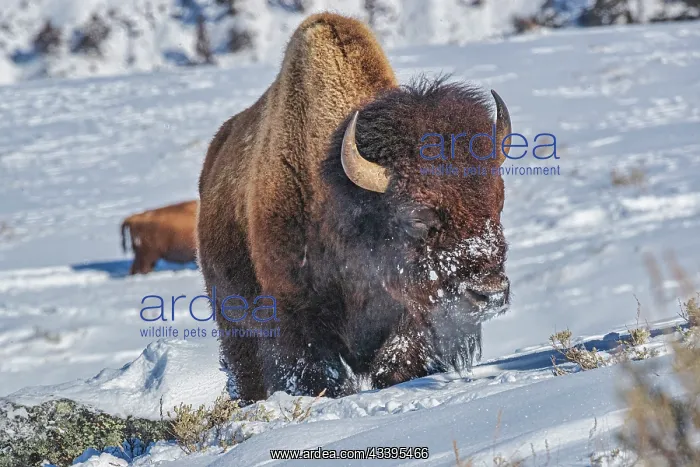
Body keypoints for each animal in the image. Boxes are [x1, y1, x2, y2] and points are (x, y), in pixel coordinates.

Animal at [197, 13, 512, 403]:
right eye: (415, 213)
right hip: (234, 324)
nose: (490, 292)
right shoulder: (295, 317)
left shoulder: (409, 316)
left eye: (498, 201)